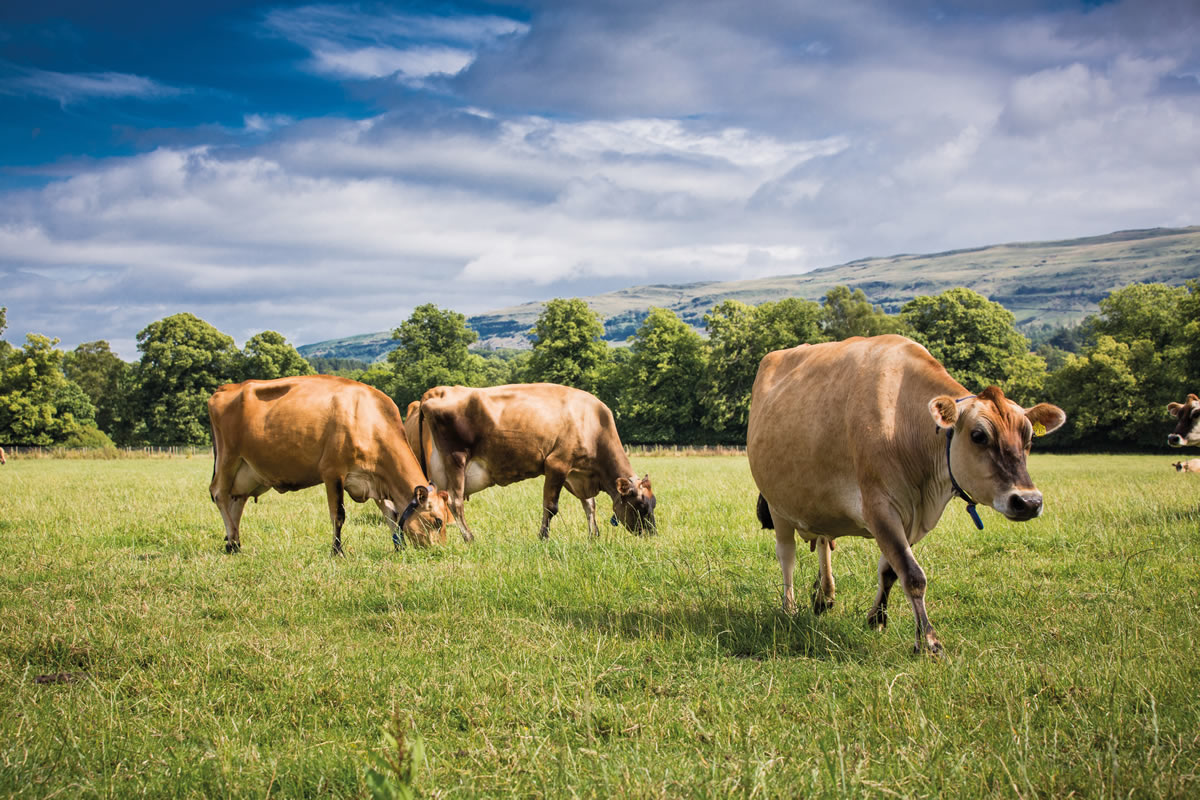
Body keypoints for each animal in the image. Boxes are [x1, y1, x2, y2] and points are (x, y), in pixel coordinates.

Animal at [206, 376, 453, 556]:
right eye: (437, 520)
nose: (439, 551)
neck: (369, 420)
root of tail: (225, 388)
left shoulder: (375, 480)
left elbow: (391, 513)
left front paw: (398, 548)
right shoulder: (333, 473)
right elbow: (339, 515)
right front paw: (337, 551)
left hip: (247, 470)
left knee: (237, 500)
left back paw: (234, 542)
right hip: (228, 458)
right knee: (219, 494)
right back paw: (232, 541)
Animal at [405, 383, 652, 542]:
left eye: (653, 504)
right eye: (640, 506)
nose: (652, 534)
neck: (593, 422)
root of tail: (436, 391)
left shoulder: (577, 473)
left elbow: (589, 504)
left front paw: (594, 535)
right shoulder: (556, 464)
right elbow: (551, 506)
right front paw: (543, 537)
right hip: (455, 458)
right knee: (455, 501)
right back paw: (470, 537)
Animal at [744, 335, 1065, 652]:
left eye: (1029, 438)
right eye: (978, 435)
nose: (1029, 501)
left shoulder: (915, 516)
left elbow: (890, 570)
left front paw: (877, 617)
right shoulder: (879, 506)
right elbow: (912, 574)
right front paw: (929, 641)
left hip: (818, 500)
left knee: (824, 541)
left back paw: (824, 595)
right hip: (777, 504)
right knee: (787, 556)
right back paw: (789, 608)